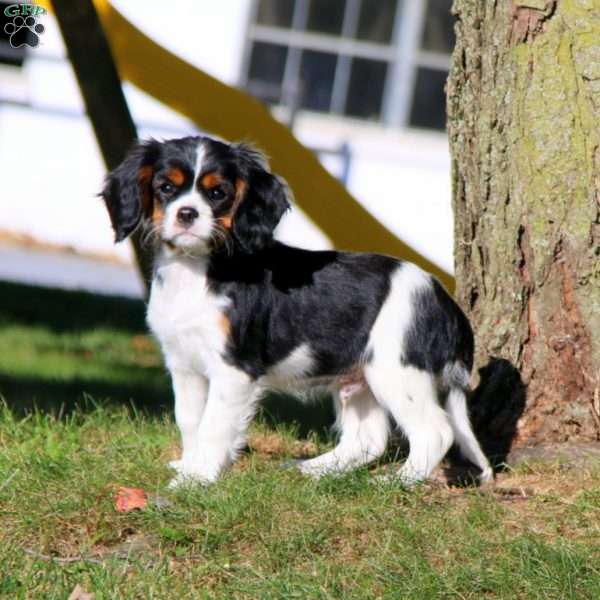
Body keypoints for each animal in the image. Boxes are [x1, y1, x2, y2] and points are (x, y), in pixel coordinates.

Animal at [101, 136, 492, 488]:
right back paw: (313, 471)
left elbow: (213, 425)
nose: (187, 214)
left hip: (397, 371)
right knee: (368, 438)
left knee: (435, 431)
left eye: (218, 193)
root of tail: (447, 302)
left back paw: (396, 481)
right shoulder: (183, 364)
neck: (196, 268)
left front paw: (196, 479)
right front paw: (189, 465)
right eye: (166, 188)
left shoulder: (234, 369)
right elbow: (189, 420)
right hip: (359, 378)